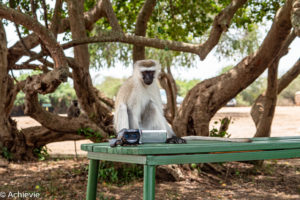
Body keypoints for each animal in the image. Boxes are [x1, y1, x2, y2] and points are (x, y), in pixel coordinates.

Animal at [113, 59, 250, 144]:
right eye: (145, 72)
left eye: (151, 72)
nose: (148, 78)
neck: (143, 84)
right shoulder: (134, 89)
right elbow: (132, 112)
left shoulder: (154, 87)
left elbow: (160, 112)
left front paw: (173, 137)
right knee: (122, 107)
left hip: (149, 129)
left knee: (152, 106)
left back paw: (168, 138)